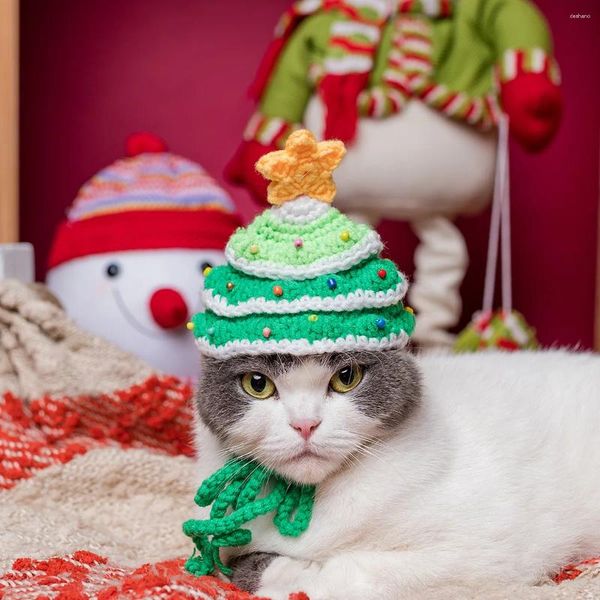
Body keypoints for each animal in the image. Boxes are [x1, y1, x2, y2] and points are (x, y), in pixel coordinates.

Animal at [192, 346, 600, 600]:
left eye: (346, 377)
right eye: (257, 384)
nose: (305, 424)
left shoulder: (484, 549)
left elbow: (357, 572)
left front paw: (299, 578)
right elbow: (238, 569)